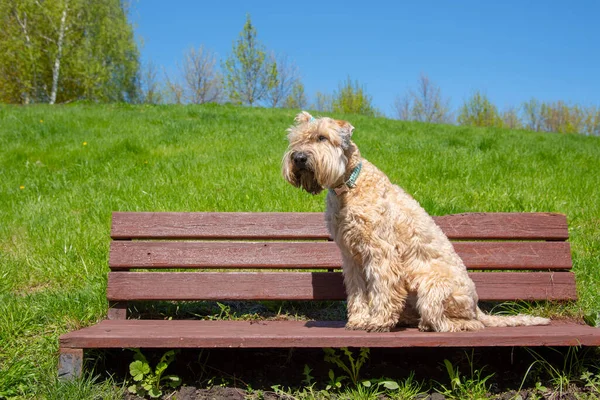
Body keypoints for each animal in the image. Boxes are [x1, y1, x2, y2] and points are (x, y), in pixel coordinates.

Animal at [284, 111, 552, 332]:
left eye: (322, 138)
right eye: (295, 139)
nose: (298, 158)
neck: (348, 187)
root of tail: (476, 306)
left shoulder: (380, 252)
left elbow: (382, 288)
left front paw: (378, 321)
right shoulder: (351, 257)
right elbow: (357, 292)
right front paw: (359, 320)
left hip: (431, 287)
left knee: (459, 322)